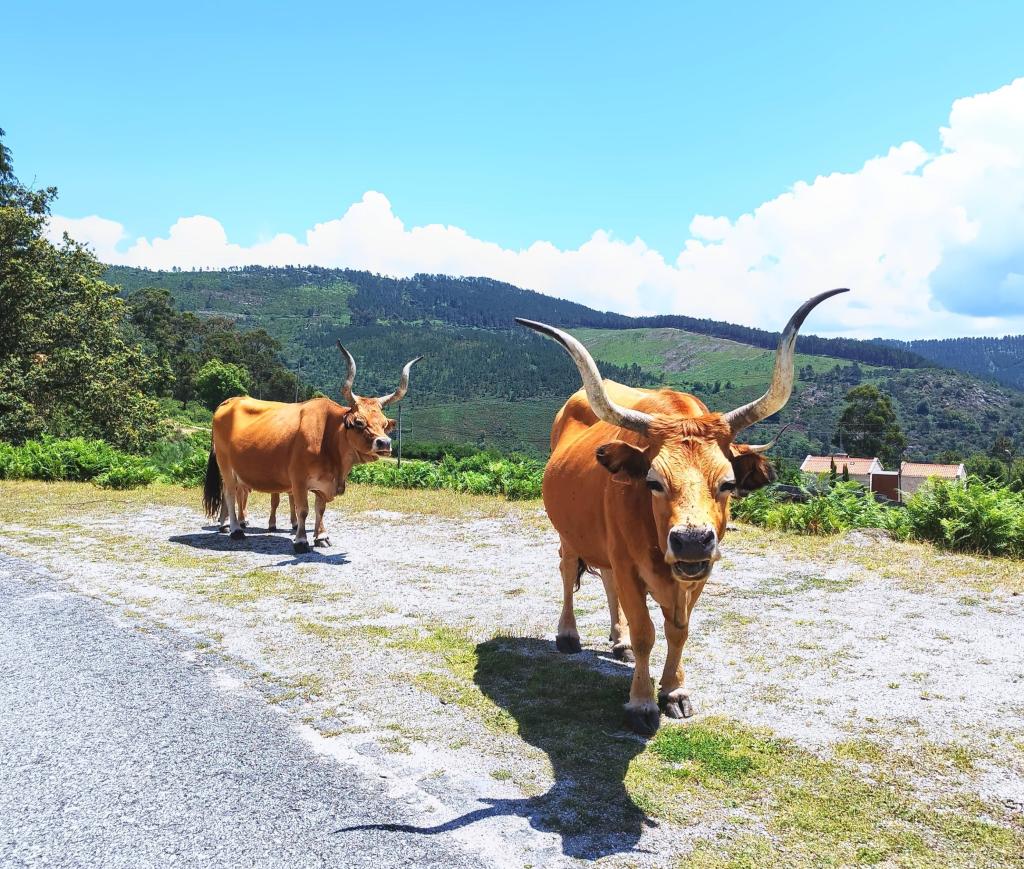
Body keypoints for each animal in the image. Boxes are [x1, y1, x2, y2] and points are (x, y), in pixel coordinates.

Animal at [202, 343, 420, 553]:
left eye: (384, 424)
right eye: (359, 422)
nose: (384, 443)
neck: (329, 439)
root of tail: (229, 401)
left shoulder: (323, 483)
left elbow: (320, 509)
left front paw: (321, 537)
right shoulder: (298, 480)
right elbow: (303, 510)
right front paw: (301, 541)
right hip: (225, 466)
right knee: (229, 494)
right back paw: (235, 529)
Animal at [516, 289, 847, 735]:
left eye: (727, 483)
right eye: (654, 481)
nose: (691, 541)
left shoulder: (695, 573)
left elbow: (679, 630)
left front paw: (673, 691)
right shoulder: (629, 562)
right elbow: (646, 632)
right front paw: (641, 702)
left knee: (605, 581)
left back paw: (617, 640)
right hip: (569, 533)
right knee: (569, 571)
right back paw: (568, 635)